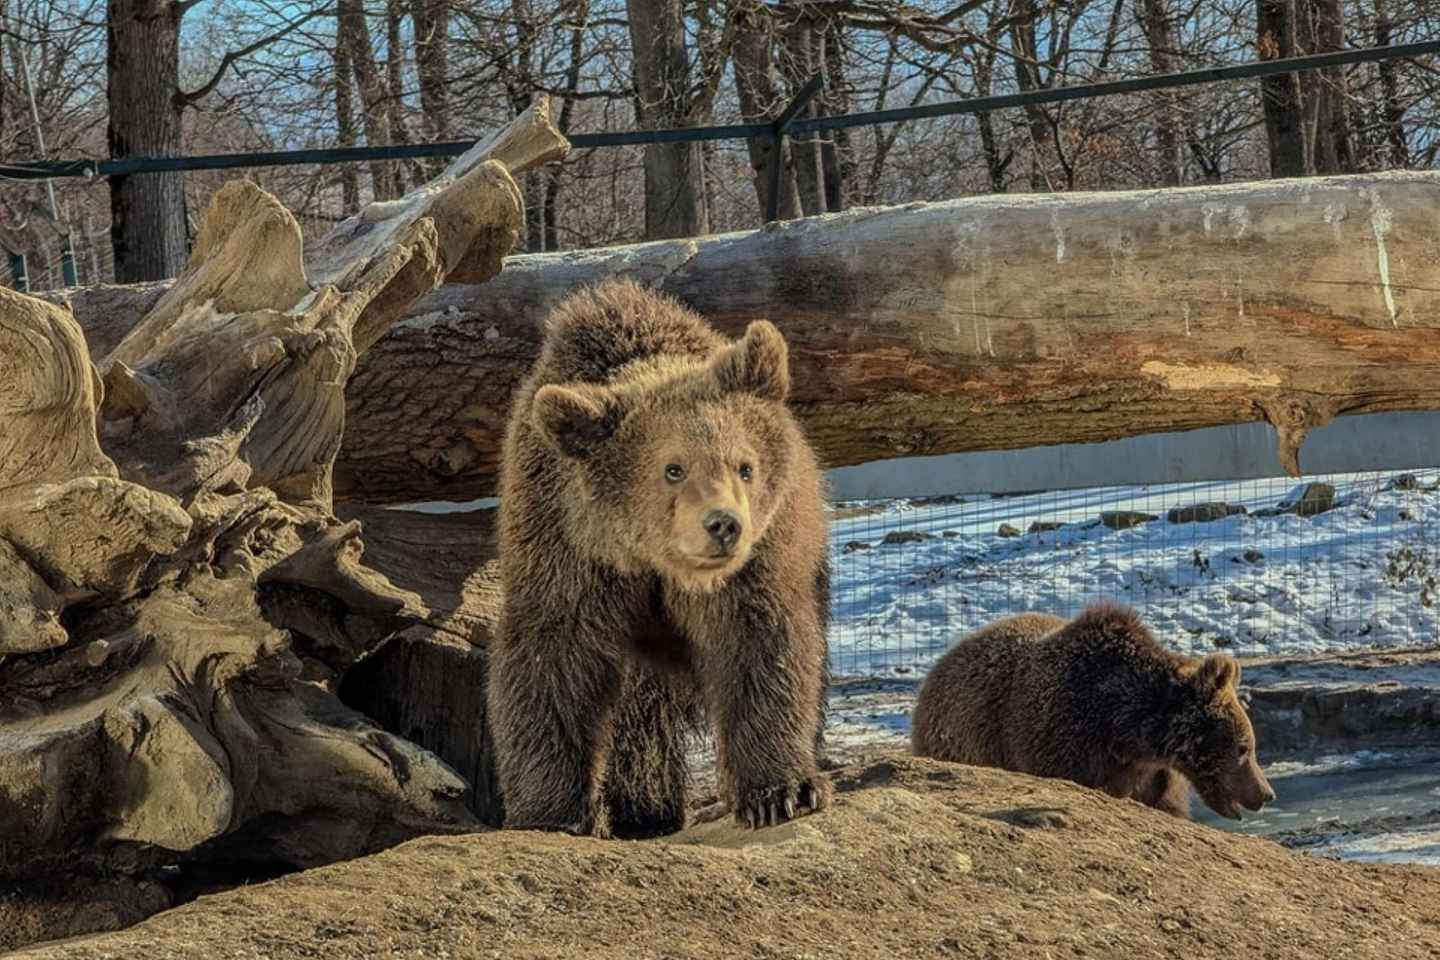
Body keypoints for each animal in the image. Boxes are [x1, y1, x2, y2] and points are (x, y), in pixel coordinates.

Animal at [487, 277, 832, 839]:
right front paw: (548, 813)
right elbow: (551, 666)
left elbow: (764, 652)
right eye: (673, 469)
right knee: (639, 720)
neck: (652, 563)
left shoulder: (758, 565)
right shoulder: (566, 552)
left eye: (745, 466)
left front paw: (780, 792)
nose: (723, 524)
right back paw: (643, 811)